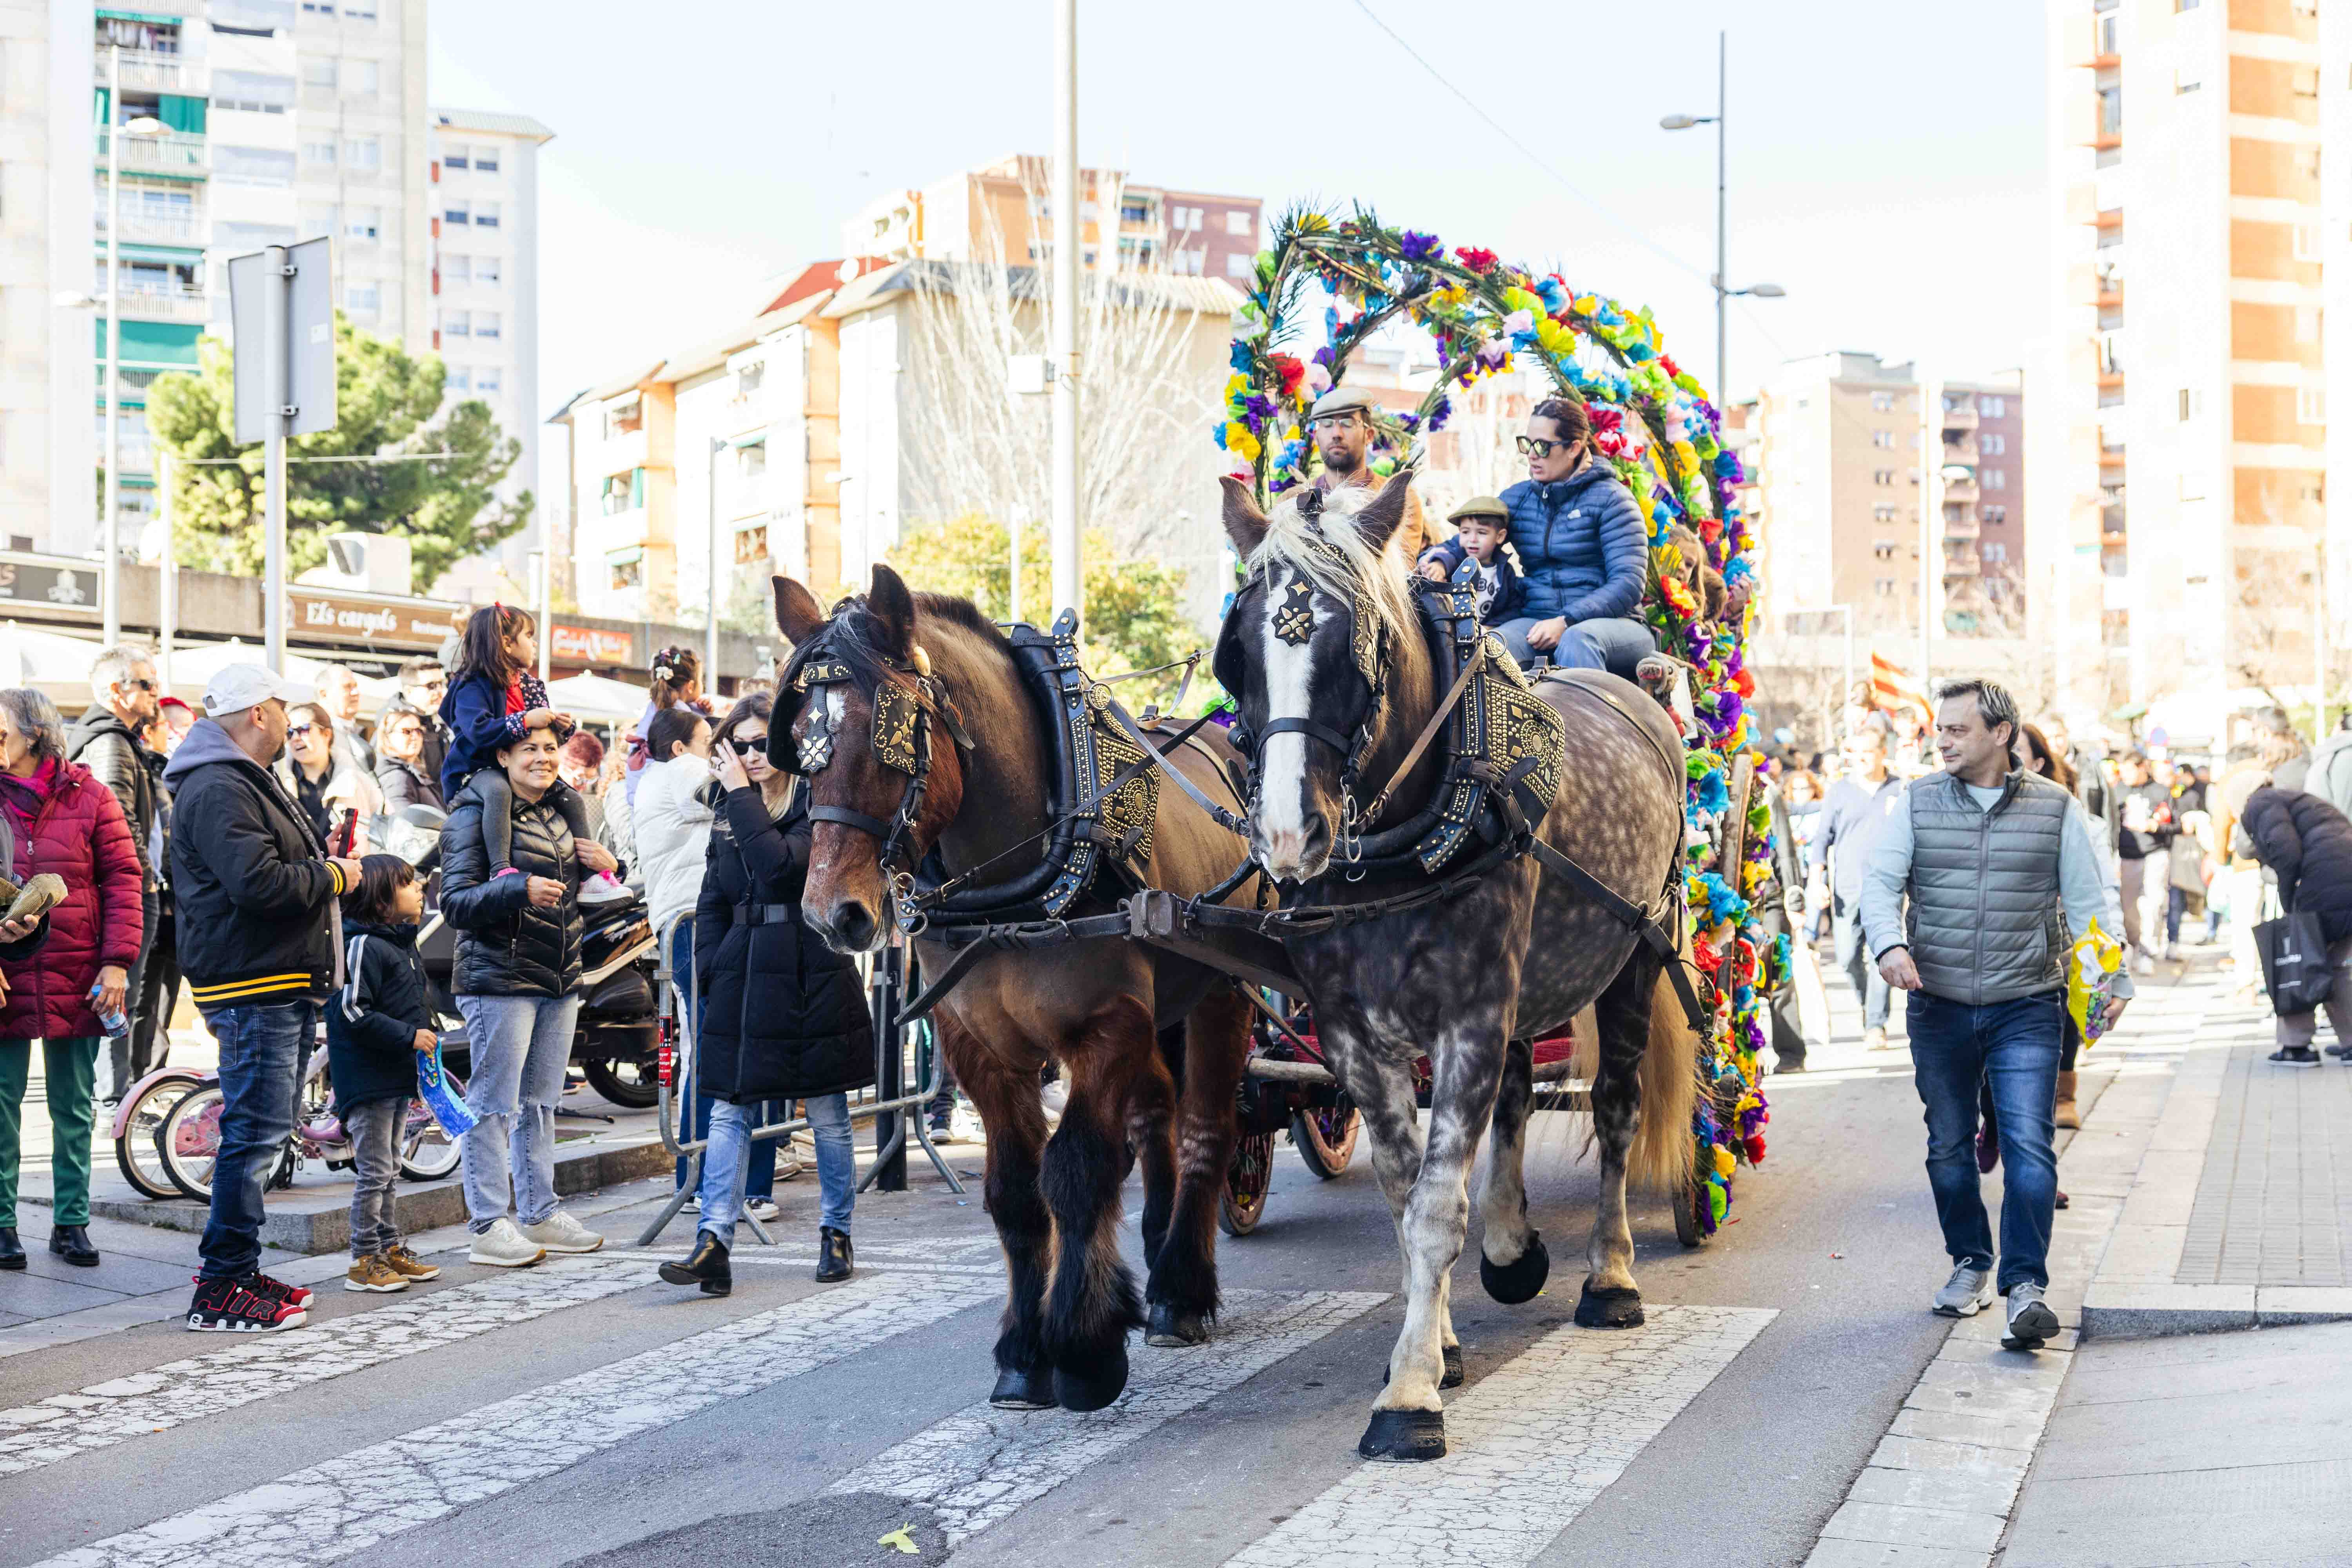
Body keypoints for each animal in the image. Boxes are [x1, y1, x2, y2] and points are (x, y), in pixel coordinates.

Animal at [776, 571, 1270, 1420]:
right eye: (802, 744)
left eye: (888, 740)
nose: (832, 916)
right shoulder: (979, 1048)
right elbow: (1014, 1191)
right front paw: (1025, 1352)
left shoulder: (1106, 1027)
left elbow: (1073, 1171)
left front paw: (1082, 1349)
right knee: (1157, 1116)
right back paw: (1149, 1264)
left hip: (1221, 991)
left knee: (1207, 1126)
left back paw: (1180, 1289)